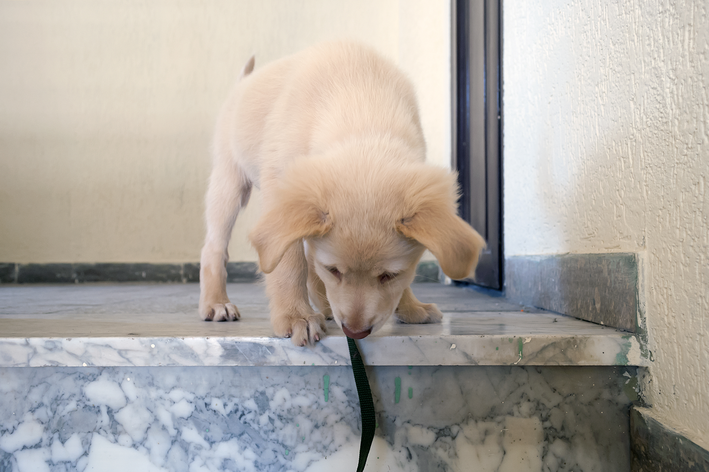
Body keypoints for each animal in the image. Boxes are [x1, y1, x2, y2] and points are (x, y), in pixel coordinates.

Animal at [201, 42, 486, 346]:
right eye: (334, 270)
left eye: (389, 275)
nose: (355, 332)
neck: (362, 111)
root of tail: (242, 83)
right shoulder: (282, 196)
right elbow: (289, 263)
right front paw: (295, 316)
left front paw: (410, 307)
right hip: (229, 184)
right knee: (215, 247)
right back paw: (216, 303)